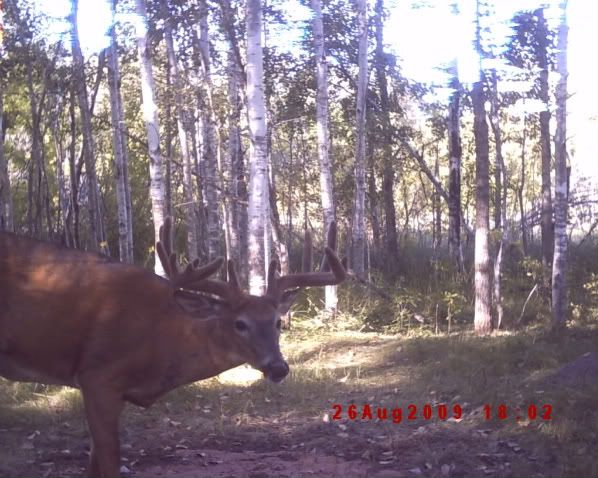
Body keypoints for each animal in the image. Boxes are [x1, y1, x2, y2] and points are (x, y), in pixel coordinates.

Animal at [0, 218, 346, 476]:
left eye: (277, 322)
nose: (278, 367)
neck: (161, 340)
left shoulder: (112, 390)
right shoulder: (97, 375)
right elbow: (109, 465)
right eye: (240, 324)